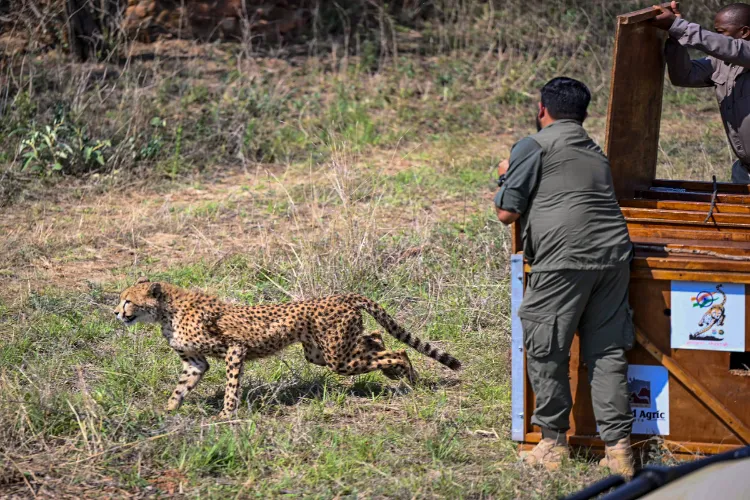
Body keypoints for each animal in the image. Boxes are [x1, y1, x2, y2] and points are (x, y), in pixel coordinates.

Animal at [114, 277, 462, 418]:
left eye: (128, 300)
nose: (116, 312)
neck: (167, 311)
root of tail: (341, 296)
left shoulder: (235, 348)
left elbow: (231, 386)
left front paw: (226, 415)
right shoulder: (196, 363)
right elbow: (180, 388)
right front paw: (167, 412)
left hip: (336, 357)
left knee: (397, 350)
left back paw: (410, 377)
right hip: (323, 352)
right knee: (376, 338)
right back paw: (397, 374)